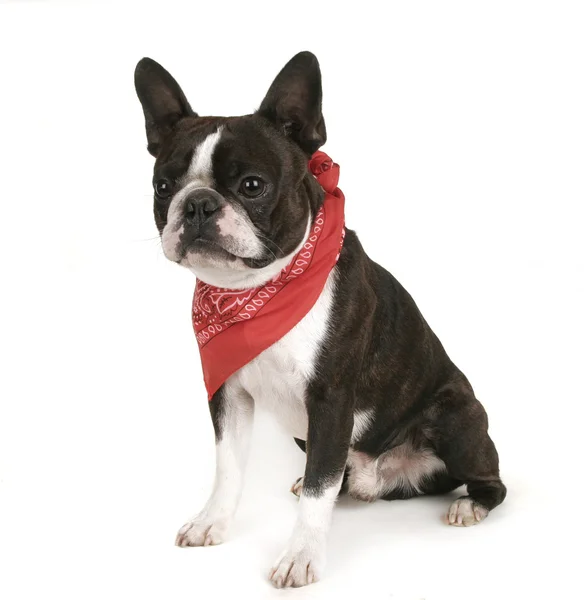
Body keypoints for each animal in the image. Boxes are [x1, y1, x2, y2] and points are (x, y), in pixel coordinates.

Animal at [133, 50, 506, 584]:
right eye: (163, 188)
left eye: (252, 186)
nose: (198, 203)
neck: (257, 290)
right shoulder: (229, 394)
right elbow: (230, 467)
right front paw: (212, 522)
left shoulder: (330, 401)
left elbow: (317, 494)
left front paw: (300, 555)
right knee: (336, 476)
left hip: (457, 418)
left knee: (486, 479)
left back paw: (470, 505)